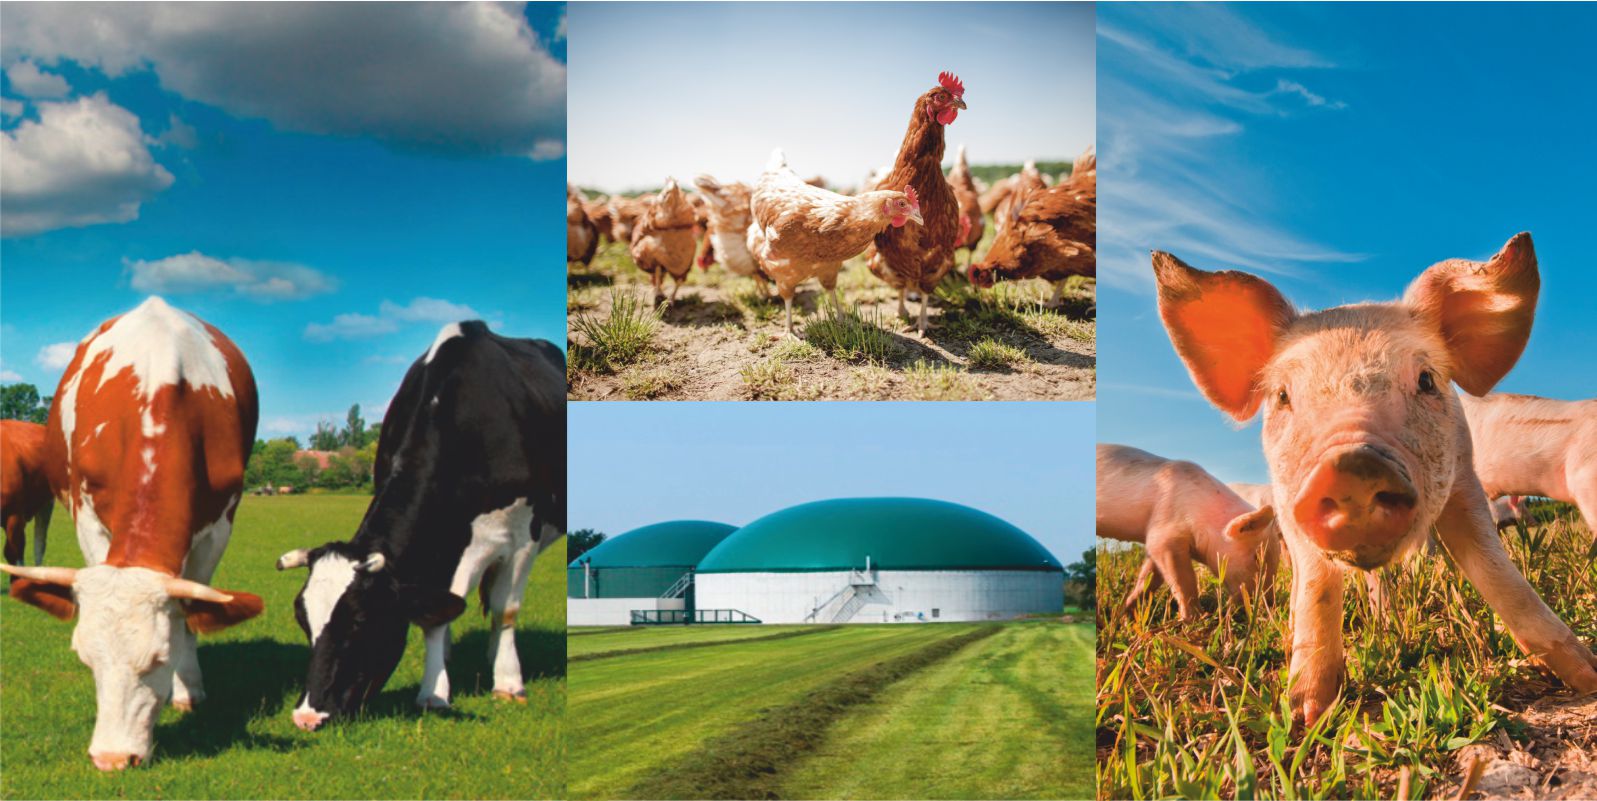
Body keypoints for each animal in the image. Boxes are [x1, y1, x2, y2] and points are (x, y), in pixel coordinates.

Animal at [275, 321, 564, 731]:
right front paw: (436, 688)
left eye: (360, 621)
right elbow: (436, 618)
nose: (307, 716)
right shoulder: (437, 547)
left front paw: (507, 684)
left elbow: (505, 609)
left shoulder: (524, 535)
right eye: (303, 620)